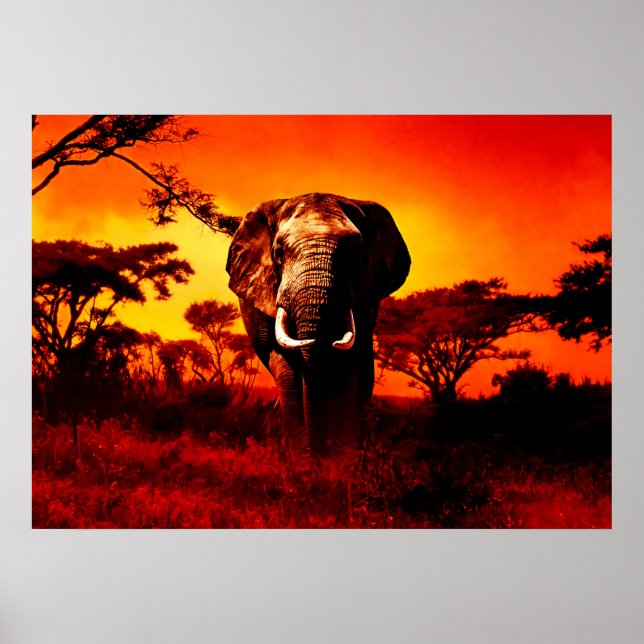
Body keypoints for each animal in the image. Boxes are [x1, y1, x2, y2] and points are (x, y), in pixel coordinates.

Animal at [226, 193, 410, 459]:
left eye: (355, 253)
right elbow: (290, 375)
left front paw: (335, 462)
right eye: (279, 252)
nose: (319, 452)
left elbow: (348, 370)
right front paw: (306, 464)